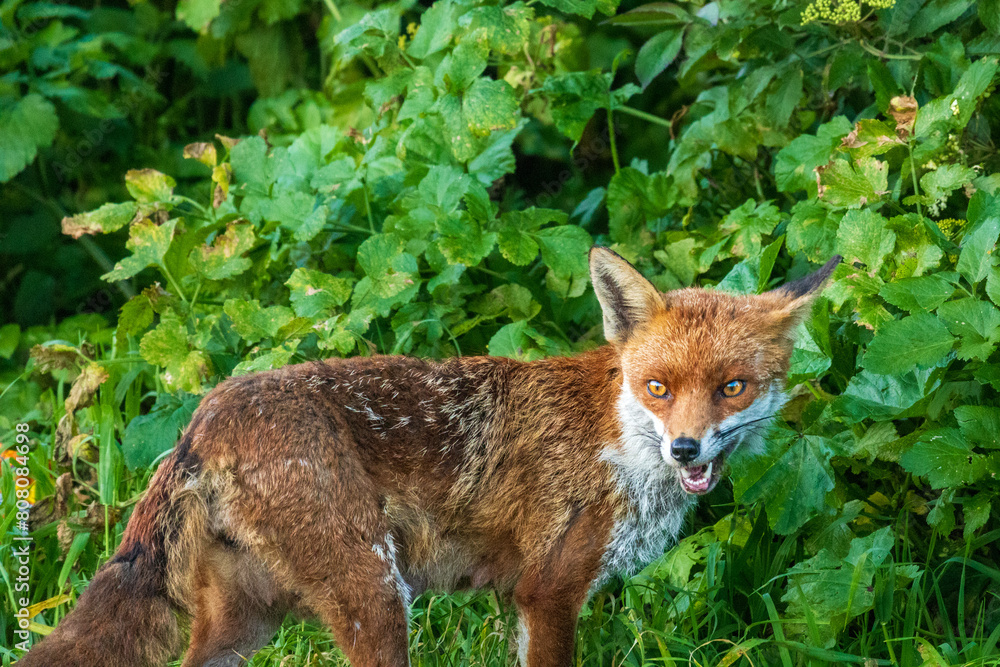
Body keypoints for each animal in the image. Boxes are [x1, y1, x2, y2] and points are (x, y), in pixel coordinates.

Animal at [18, 247, 840, 667]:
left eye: (732, 388)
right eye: (659, 387)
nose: (686, 446)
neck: (620, 441)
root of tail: (204, 417)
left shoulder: (522, 599)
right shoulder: (548, 590)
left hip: (246, 622)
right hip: (378, 598)